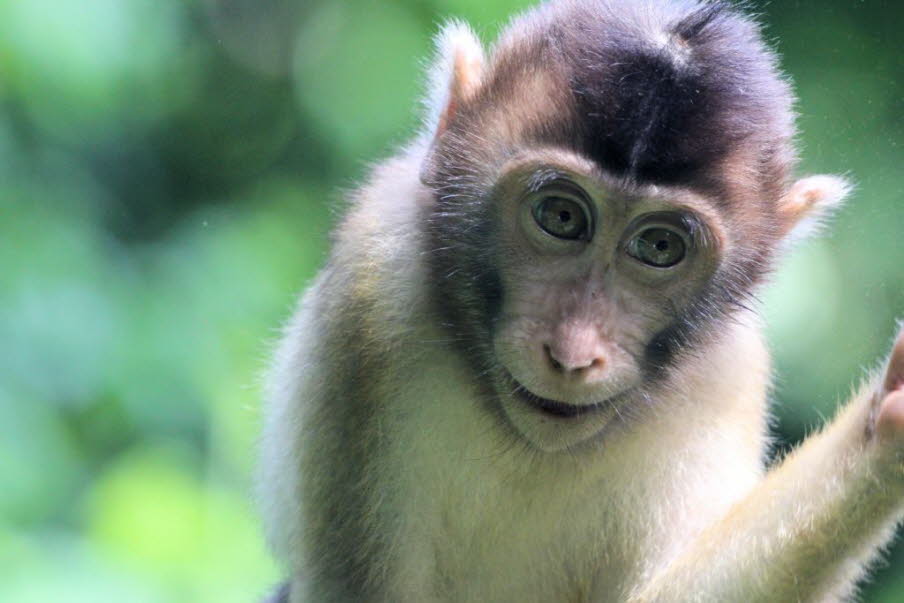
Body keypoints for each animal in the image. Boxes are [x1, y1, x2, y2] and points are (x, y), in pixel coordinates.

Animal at [256, 2, 904, 600]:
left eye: (659, 246)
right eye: (562, 216)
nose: (573, 352)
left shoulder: (729, 376)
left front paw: (881, 434)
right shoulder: (371, 286)